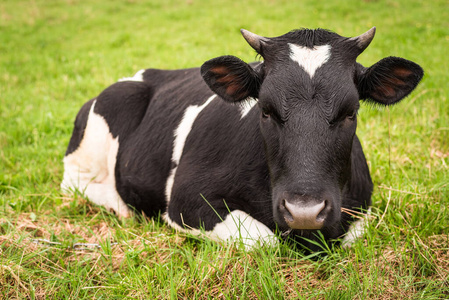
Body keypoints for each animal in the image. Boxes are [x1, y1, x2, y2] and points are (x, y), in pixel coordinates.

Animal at [61, 27, 422, 251]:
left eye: (351, 112)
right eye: (265, 109)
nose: (304, 211)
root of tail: (143, 74)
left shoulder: (363, 206)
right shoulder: (186, 200)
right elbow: (265, 240)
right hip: (94, 139)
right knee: (76, 184)